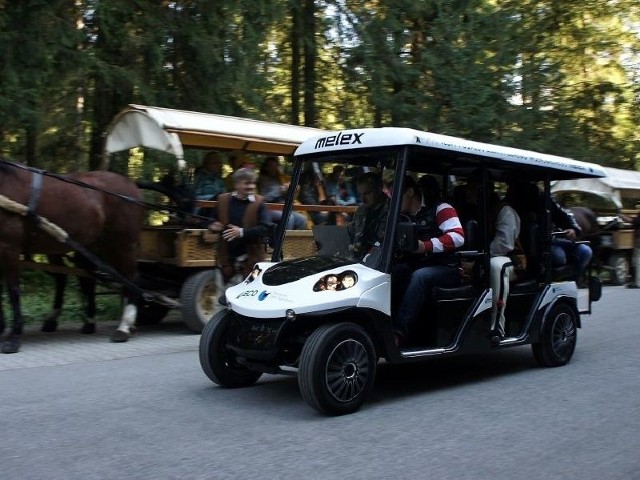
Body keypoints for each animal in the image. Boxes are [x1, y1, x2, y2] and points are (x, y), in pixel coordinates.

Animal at [0, 158, 145, 352]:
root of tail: (132, 186)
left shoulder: (9, 248)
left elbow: (13, 291)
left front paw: (13, 338)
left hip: (122, 244)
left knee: (131, 279)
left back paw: (124, 327)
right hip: (87, 246)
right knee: (86, 280)